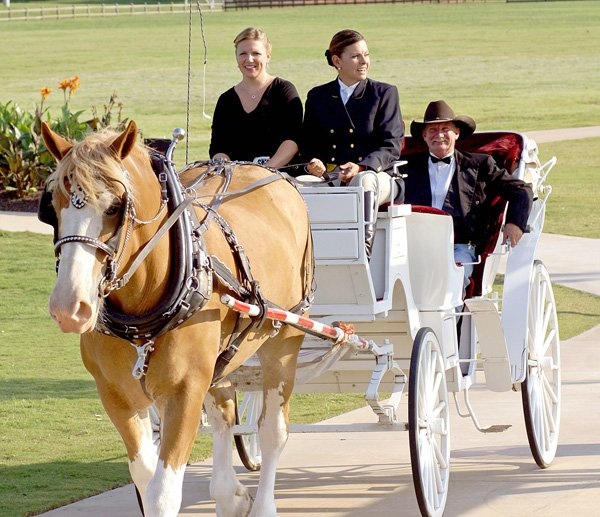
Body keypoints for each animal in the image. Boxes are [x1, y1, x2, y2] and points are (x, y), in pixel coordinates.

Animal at [39, 121, 314, 516]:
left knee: (272, 431)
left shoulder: (184, 391)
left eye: (115, 207)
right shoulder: (114, 394)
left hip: (285, 336)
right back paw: (229, 494)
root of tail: (266, 169)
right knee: (224, 414)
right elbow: (144, 474)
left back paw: (262, 504)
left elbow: (162, 492)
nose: (69, 307)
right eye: (52, 207)